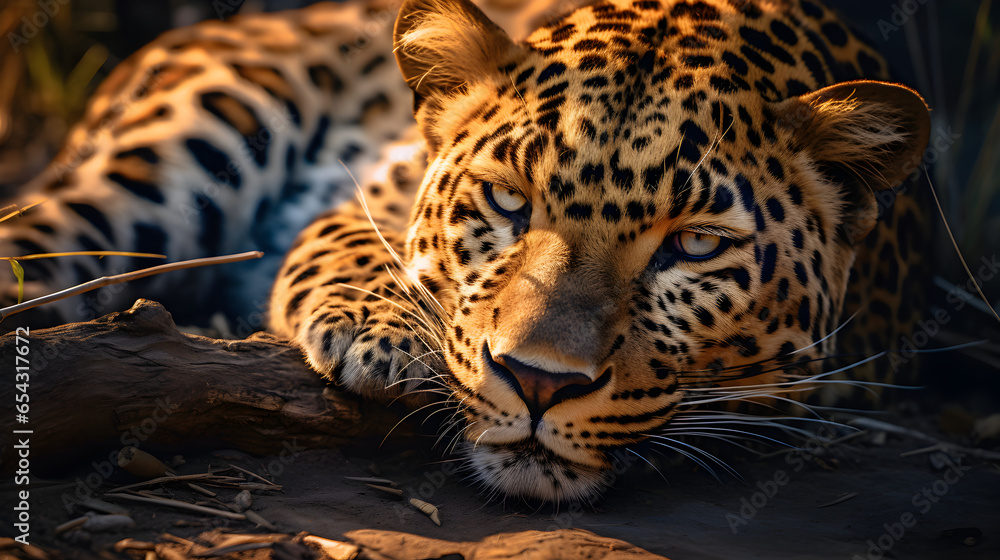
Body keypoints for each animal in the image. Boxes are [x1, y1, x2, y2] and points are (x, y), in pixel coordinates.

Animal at [0, 0, 931, 503]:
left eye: (695, 244)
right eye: (509, 200)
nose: (540, 383)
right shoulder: (373, 187)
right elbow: (354, 243)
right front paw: (382, 334)